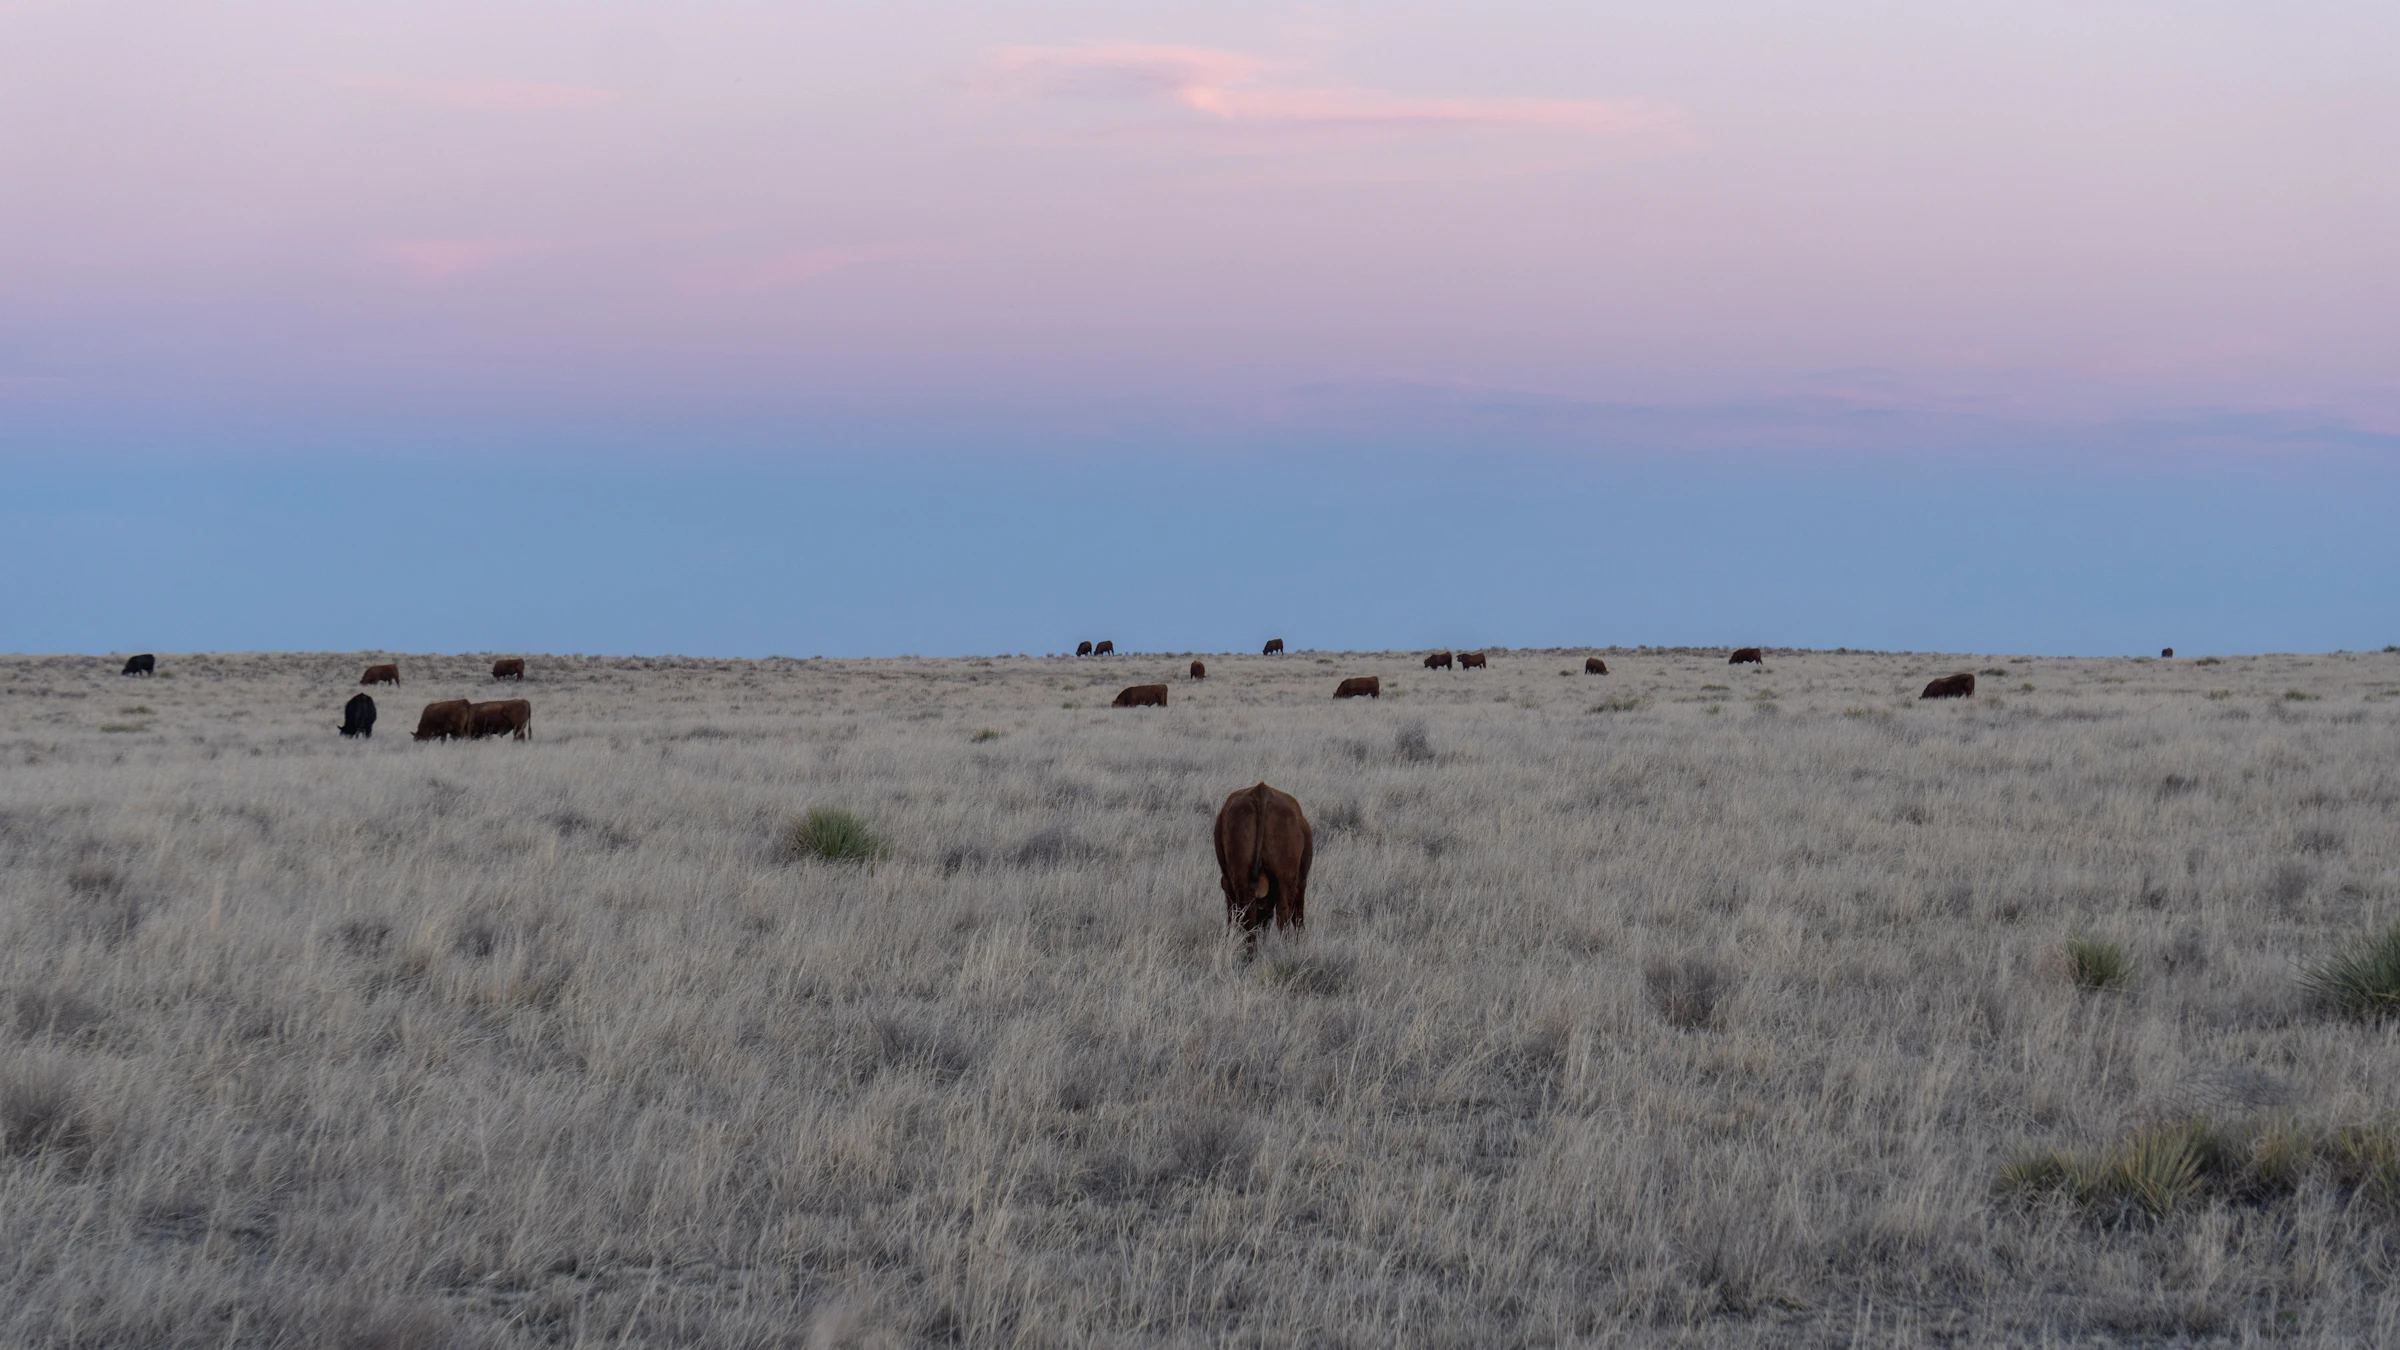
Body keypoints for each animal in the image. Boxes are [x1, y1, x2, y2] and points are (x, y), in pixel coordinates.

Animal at [1212, 782, 1313, 956]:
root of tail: (1261, 791)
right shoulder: (1301, 882)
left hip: (1241, 878)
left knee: (1248, 912)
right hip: (1285, 880)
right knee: (1283, 912)